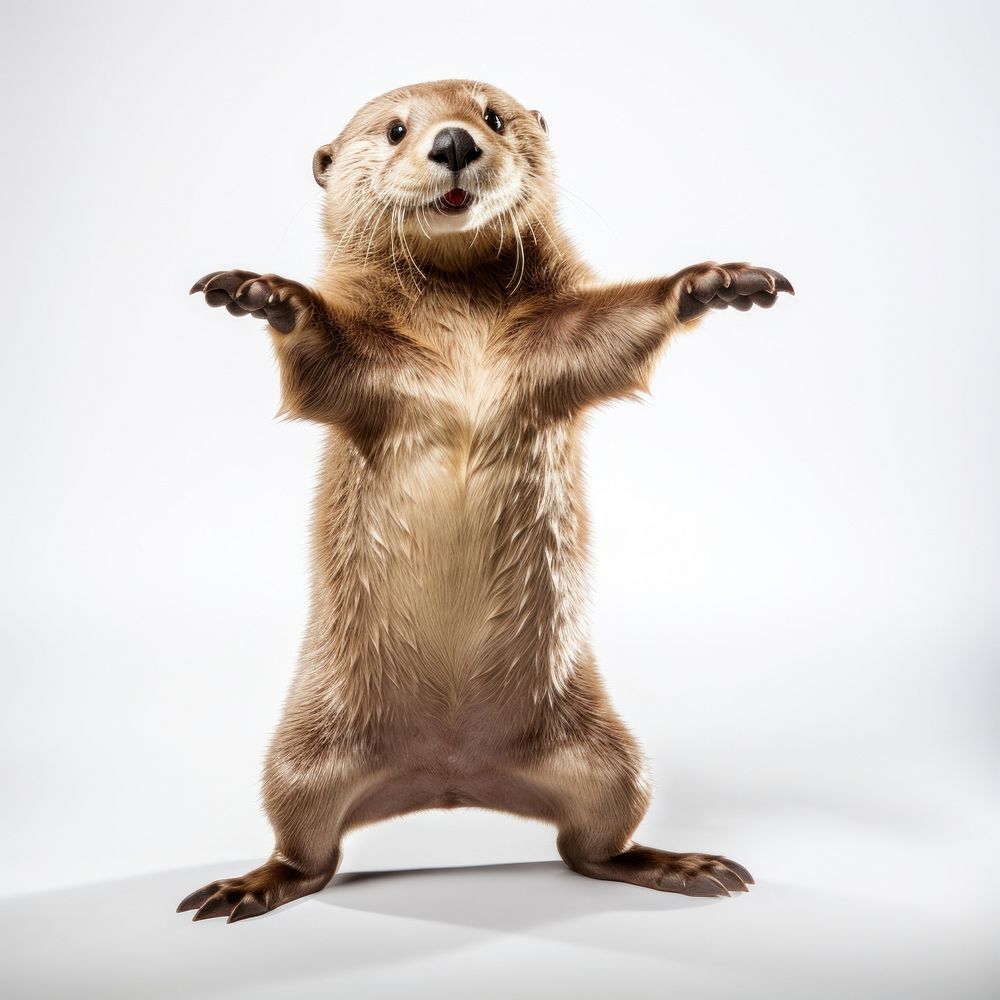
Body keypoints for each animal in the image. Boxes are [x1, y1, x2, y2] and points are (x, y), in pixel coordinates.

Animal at [178, 78, 788, 920]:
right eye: (395, 129)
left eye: (494, 116)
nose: (454, 141)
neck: (461, 333)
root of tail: (451, 773)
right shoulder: (368, 372)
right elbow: (322, 358)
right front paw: (265, 294)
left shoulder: (552, 345)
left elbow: (611, 332)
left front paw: (716, 281)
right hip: (300, 754)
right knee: (310, 853)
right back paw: (249, 885)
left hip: (611, 753)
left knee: (590, 845)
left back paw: (681, 865)